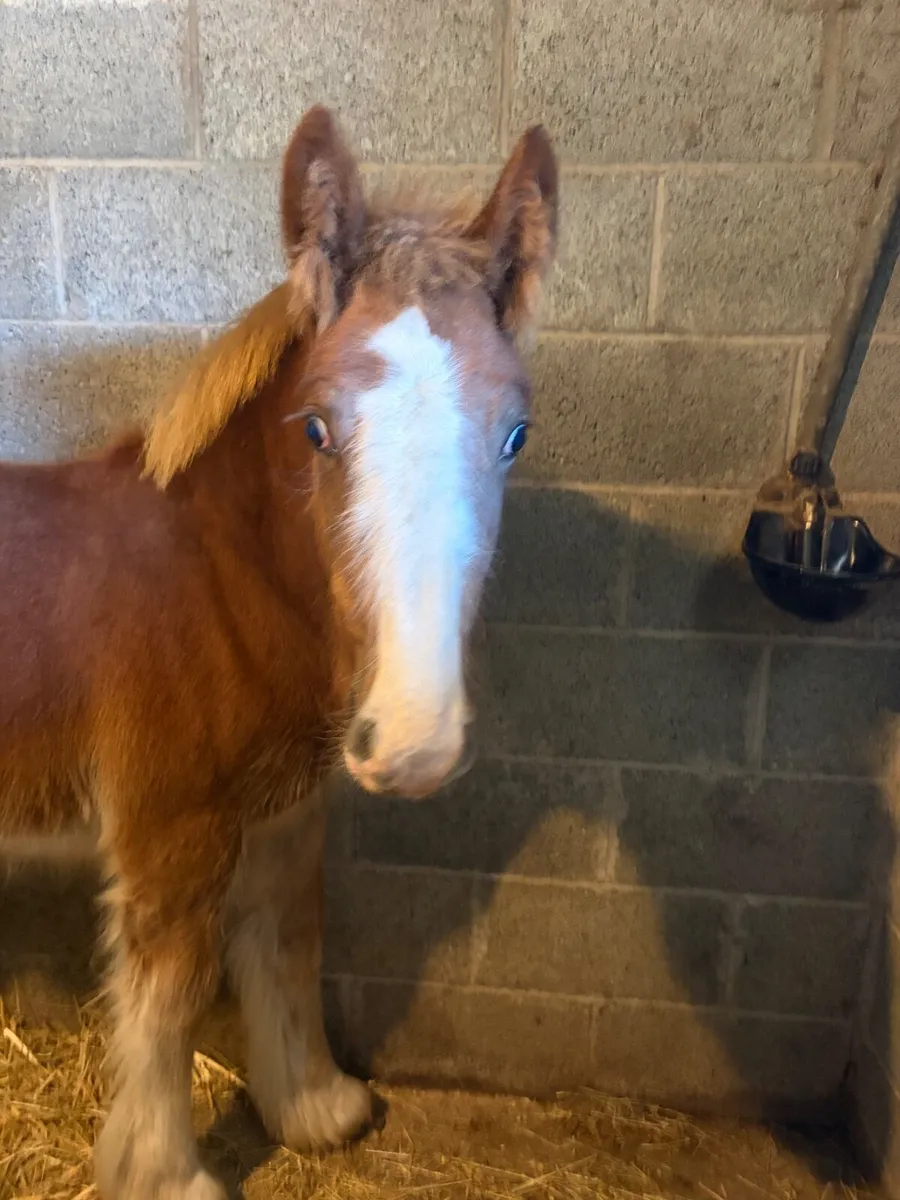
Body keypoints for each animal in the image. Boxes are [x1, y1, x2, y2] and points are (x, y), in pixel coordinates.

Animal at [0, 105, 558, 1199]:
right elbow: (169, 1001)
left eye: (515, 433)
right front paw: (167, 1175)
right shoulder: (171, 834)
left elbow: (289, 942)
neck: (213, 584)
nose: (414, 744)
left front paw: (314, 1107)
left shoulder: (286, 811)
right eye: (315, 429)